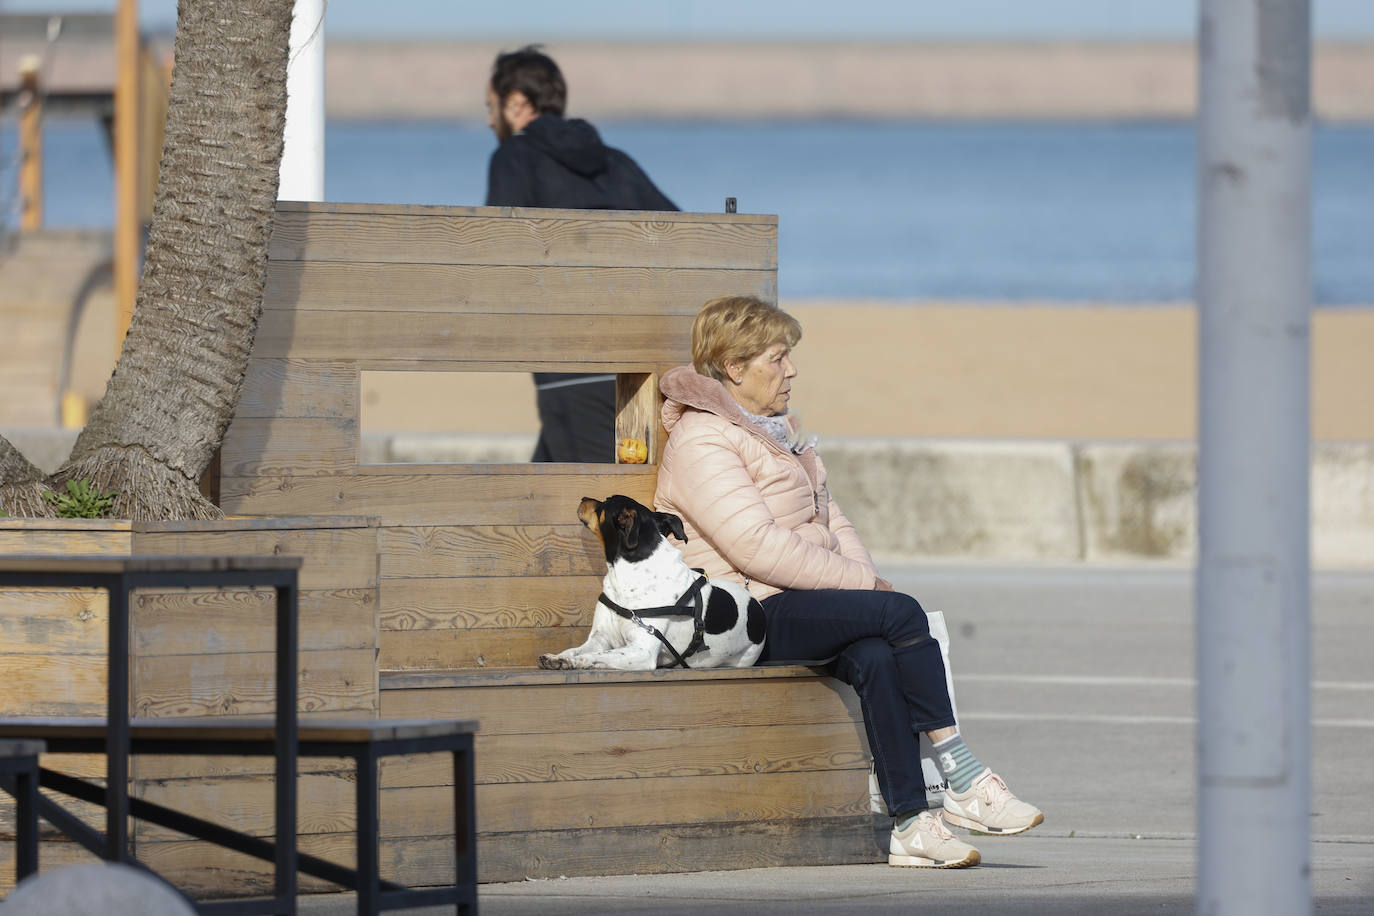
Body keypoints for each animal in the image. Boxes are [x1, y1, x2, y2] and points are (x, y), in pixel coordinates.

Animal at [535, 494, 769, 672]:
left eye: (603, 504)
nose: (583, 498)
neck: (627, 576)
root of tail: (756, 603)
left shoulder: (642, 651)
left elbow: (601, 655)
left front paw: (578, 661)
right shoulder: (601, 638)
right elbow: (578, 649)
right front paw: (560, 657)